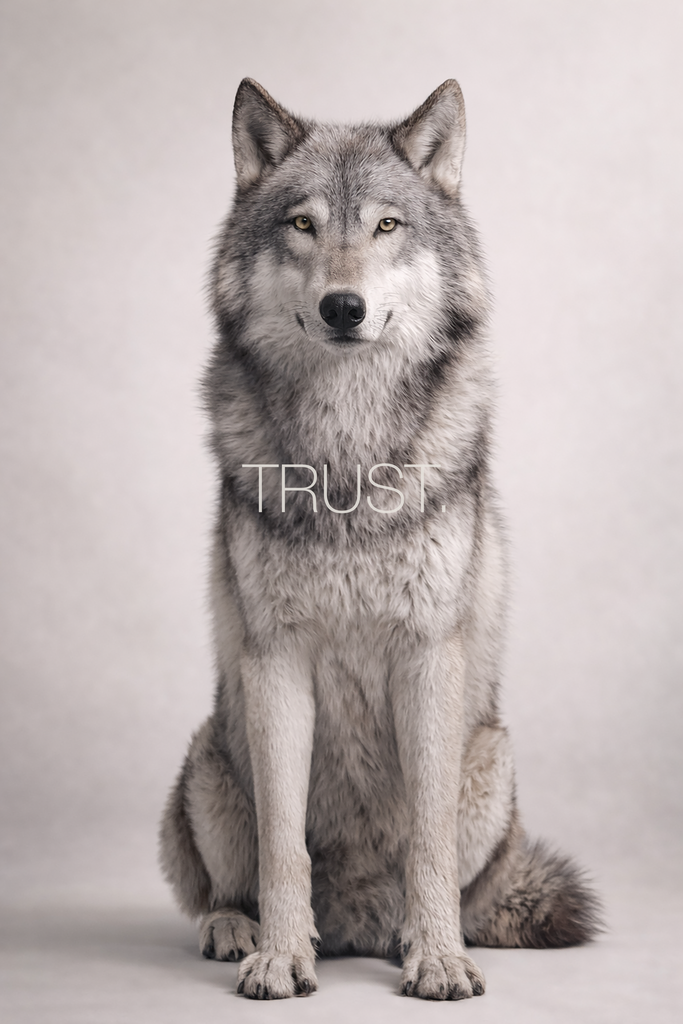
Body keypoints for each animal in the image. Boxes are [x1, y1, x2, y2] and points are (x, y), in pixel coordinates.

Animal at [159, 77, 600, 1001]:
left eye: (387, 226)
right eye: (302, 224)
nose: (343, 307)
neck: (347, 455)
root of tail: (353, 924)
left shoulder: (426, 654)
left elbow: (425, 840)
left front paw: (436, 958)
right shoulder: (276, 661)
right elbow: (281, 843)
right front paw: (279, 957)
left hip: (491, 761)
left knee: (458, 884)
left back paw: (409, 935)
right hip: (209, 758)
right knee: (223, 882)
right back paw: (236, 928)